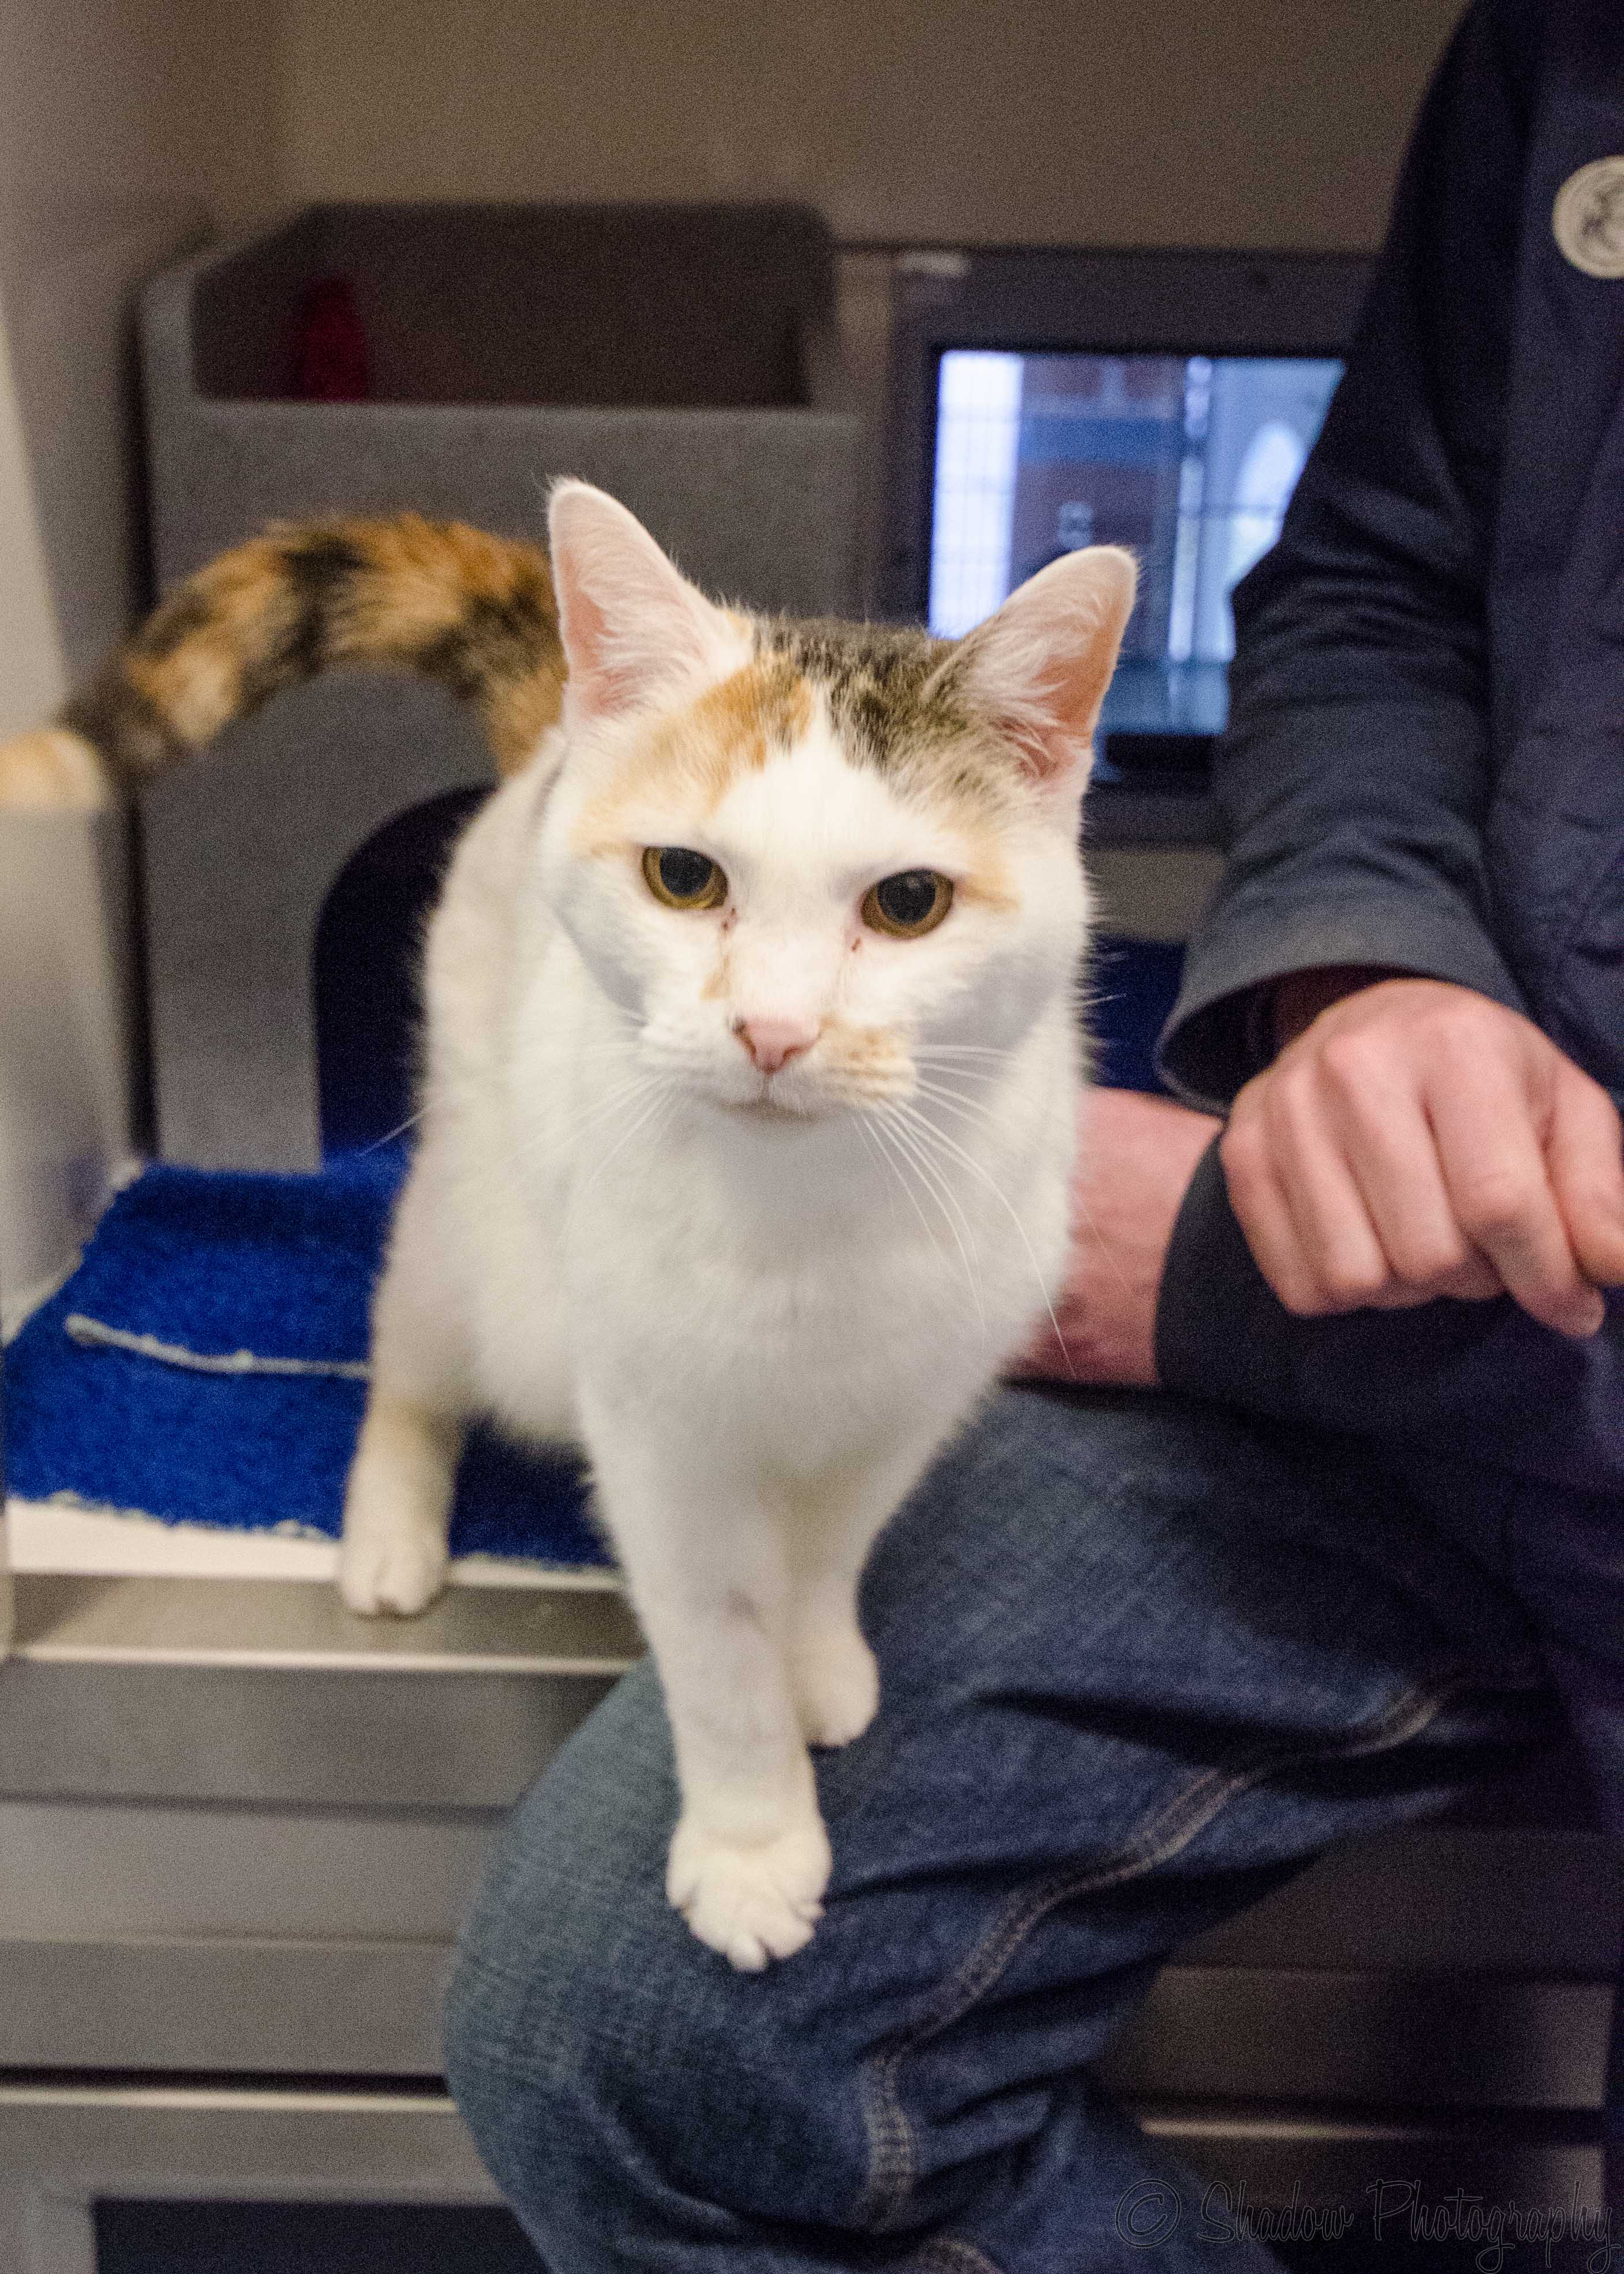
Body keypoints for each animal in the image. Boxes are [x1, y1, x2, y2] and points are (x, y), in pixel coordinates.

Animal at [0, 486, 1135, 1968]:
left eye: (908, 902)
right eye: (683, 876)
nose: (774, 1031)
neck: (809, 1217)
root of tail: (557, 733)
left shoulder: (911, 1396)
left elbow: (831, 1550)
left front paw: (820, 1659)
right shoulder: (662, 1440)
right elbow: (718, 1648)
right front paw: (753, 1841)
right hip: (470, 1226)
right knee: (411, 1361)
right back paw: (390, 1526)